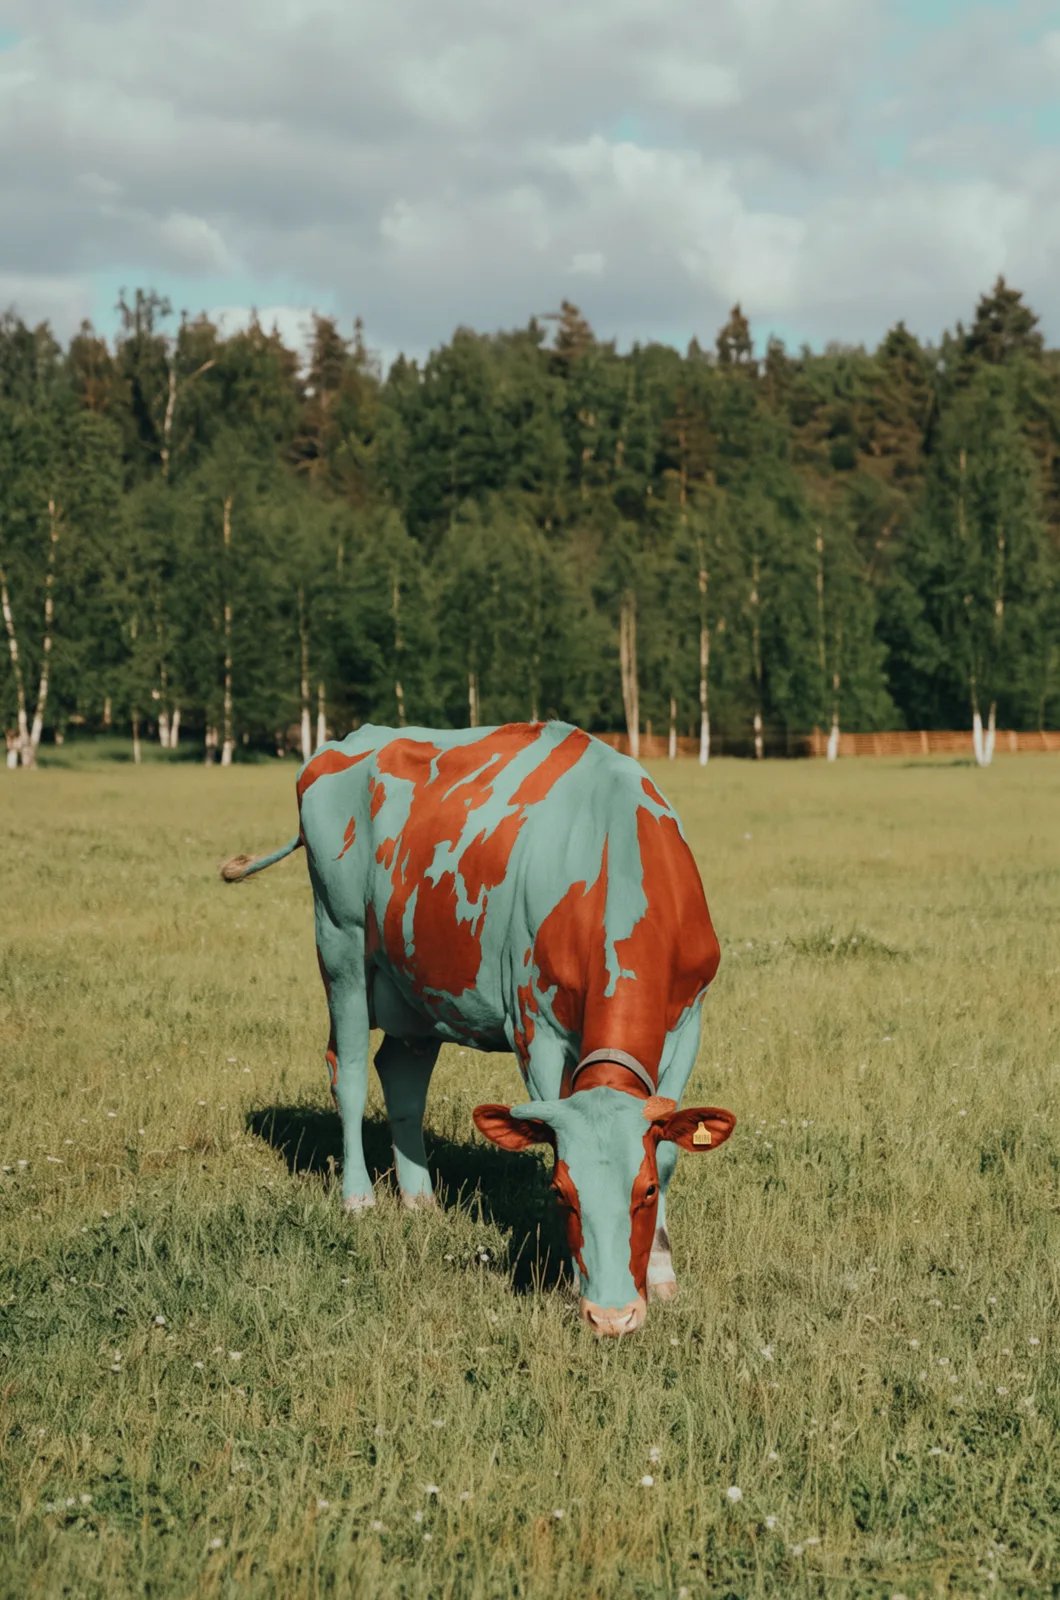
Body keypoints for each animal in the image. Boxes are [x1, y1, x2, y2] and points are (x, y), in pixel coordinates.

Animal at [221, 720, 734, 1336]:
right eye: (561, 1192)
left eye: (647, 1191)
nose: (611, 1317)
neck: (616, 856)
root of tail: (345, 742)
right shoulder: (535, 1028)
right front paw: (569, 1278)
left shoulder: (690, 1020)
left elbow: (671, 1151)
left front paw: (660, 1275)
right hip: (340, 943)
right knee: (349, 1073)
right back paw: (359, 1198)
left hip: (416, 985)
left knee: (402, 1074)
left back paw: (419, 1197)